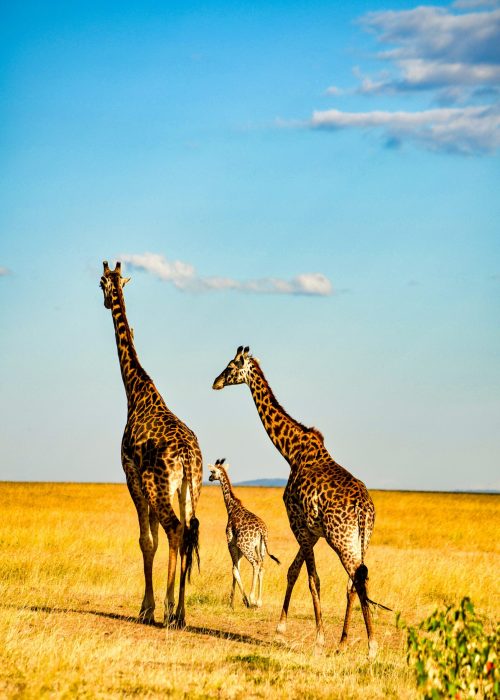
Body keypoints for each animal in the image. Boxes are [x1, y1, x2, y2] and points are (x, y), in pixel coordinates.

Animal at [100, 261, 202, 628]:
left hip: (158, 487)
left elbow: (147, 540)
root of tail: (187, 456)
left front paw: (147, 608)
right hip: (189, 490)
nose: (106, 301)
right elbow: (155, 540)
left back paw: (171, 610)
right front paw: (152, 605)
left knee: (176, 530)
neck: (135, 391)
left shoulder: (131, 476)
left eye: (101, 283)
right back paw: (182, 612)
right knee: (188, 532)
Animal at [208, 458, 280, 609]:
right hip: (261, 548)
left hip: (246, 546)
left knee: (256, 564)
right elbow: (237, 569)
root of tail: (262, 531)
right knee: (262, 566)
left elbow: (234, 570)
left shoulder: (231, 543)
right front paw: (233, 602)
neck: (232, 507)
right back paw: (259, 601)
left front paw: (243, 600)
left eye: (212, 471)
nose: (209, 478)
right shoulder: (238, 547)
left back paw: (252, 599)